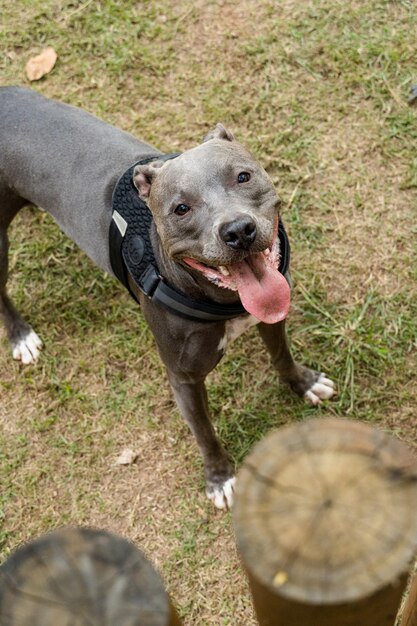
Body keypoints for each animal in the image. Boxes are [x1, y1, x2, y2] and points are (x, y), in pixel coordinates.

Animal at [0, 86, 334, 508]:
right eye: (181, 208)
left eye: (243, 176)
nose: (237, 231)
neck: (222, 300)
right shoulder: (184, 378)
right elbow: (204, 431)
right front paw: (220, 477)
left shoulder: (271, 318)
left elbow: (281, 355)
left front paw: (304, 383)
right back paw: (20, 336)